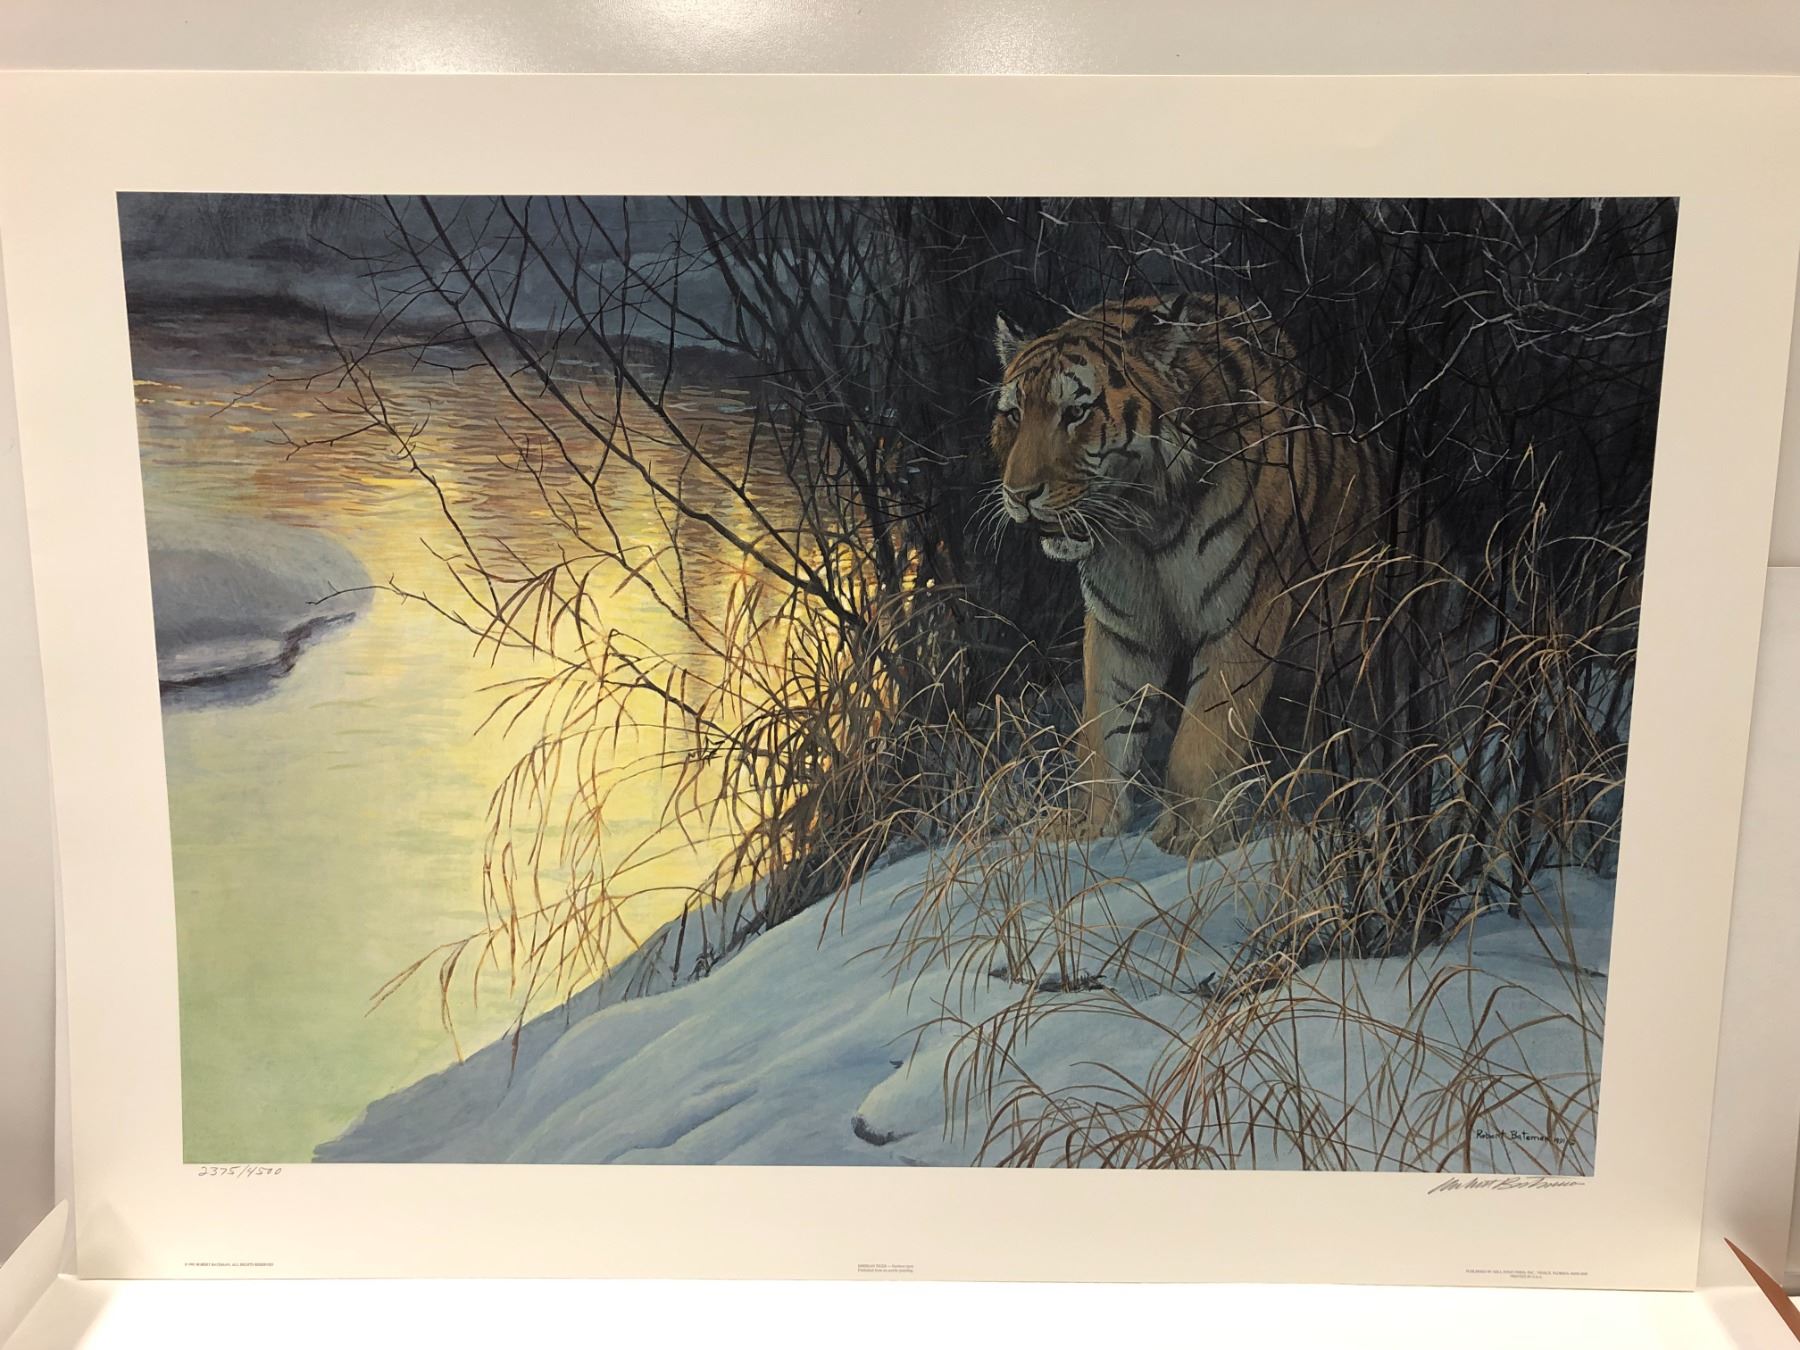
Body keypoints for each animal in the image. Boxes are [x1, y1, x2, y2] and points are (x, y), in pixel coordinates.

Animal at [990, 292, 1421, 855]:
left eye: (1076, 412)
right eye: (1014, 415)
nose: (1019, 495)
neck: (1141, 528)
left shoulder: (1241, 617)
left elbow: (1201, 736)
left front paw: (1185, 837)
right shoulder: (1120, 630)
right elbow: (1103, 734)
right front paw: (1090, 829)